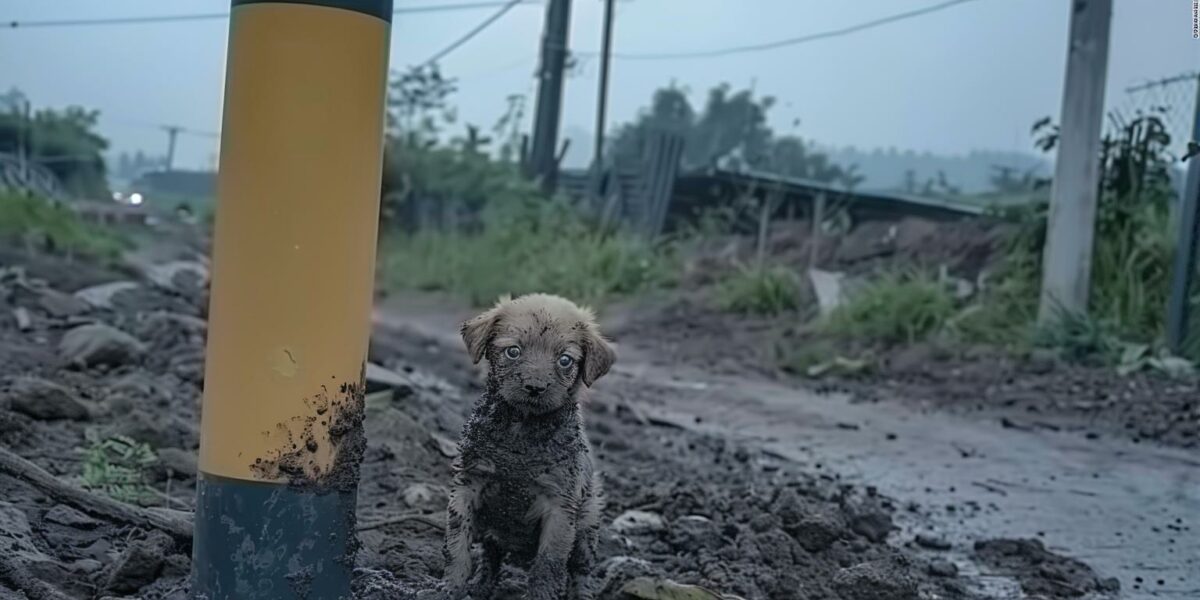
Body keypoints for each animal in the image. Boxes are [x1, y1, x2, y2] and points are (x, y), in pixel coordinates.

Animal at [444, 295, 614, 600]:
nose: (535, 387)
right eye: (513, 351)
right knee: (490, 557)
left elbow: (548, 565)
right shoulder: (468, 484)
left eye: (565, 360)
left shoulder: (560, 506)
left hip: (587, 525)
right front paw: (450, 588)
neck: (521, 430)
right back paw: (481, 586)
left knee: (581, 571)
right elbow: (457, 546)